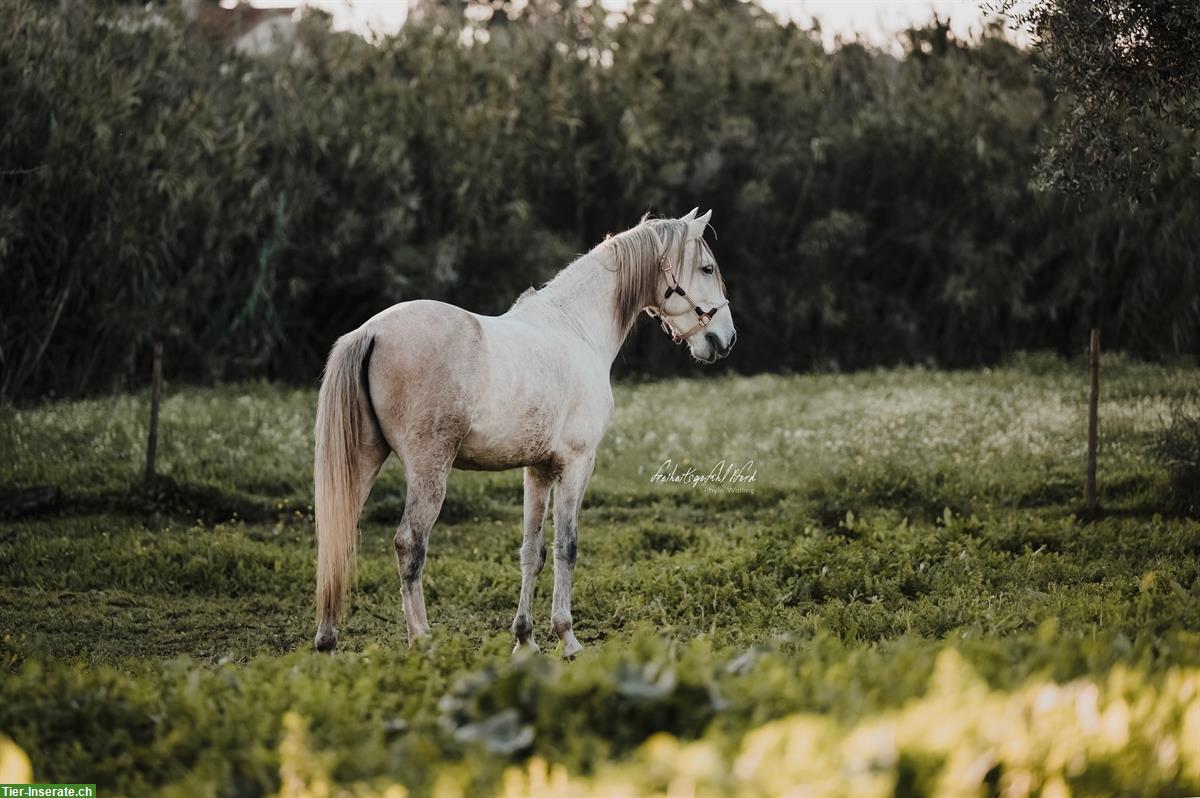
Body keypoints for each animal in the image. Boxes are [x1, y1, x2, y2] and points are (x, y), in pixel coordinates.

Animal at [312, 208, 729, 657]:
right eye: (707, 268)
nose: (725, 338)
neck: (576, 327)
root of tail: (370, 331)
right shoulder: (577, 463)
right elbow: (567, 547)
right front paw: (567, 638)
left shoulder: (538, 469)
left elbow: (533, 552)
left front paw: (525, 639)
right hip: (428, 470)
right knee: (410, 544)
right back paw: (422, 640)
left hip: (362, 462)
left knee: (336, 538)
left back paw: (327, 641)